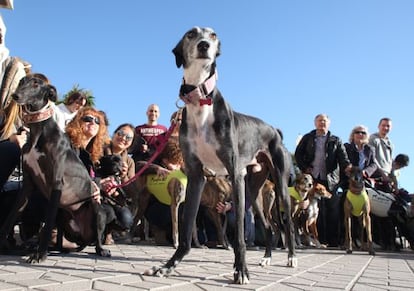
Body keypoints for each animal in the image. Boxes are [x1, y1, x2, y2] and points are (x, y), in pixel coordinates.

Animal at [0, 76, 111, 264]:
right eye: (22, 81)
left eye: (36, 84)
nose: (15, 96)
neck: (38, 132)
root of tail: (83, 236)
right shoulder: (28, 185)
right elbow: (11, 216)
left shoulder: (56, 183)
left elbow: (46, 225)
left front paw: (40, 255)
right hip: (62, 214)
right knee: (59, 238)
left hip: (96, 208)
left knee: (97, 237)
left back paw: (101, 250)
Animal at [144, 26, 296, 286]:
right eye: (190, 34)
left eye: (213, 35)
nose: (204, 45)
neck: (200, 101)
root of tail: (274, 129)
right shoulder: (196, 176)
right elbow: (186, 230)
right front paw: (168, 266)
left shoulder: (234, 174)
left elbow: (239, 237)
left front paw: (241, 270)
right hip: (252, 191)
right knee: (269, 226)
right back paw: (266, 257)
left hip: (278, 186)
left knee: (287, 223)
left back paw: (291, 257)